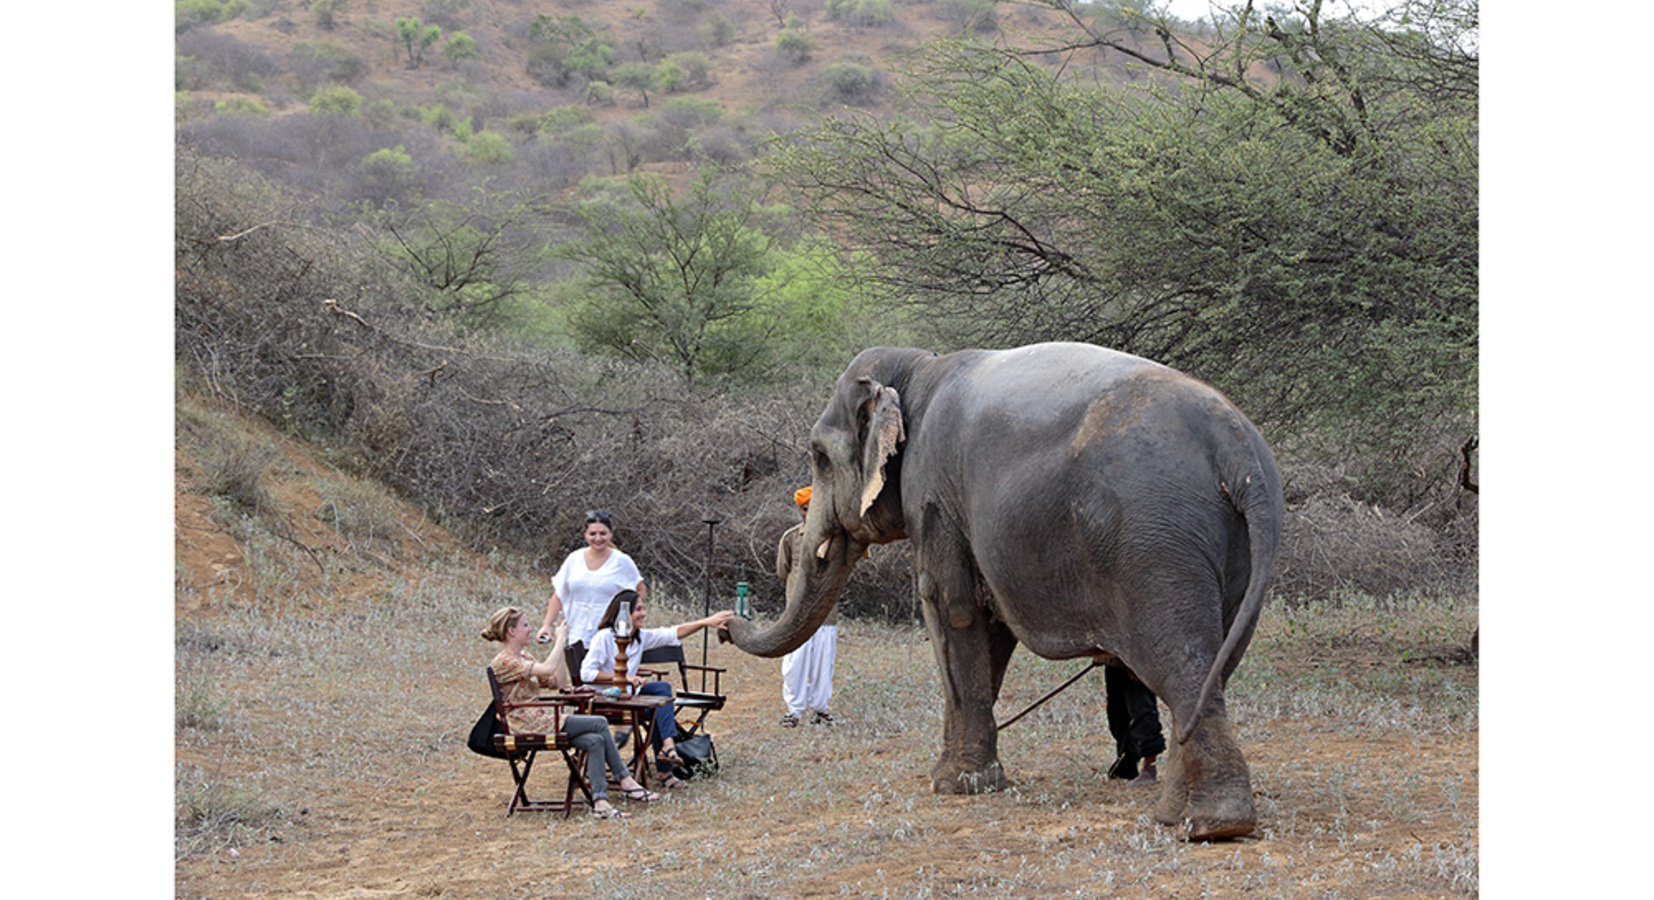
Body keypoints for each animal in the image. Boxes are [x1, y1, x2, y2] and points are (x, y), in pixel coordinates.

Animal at [731, 340, 1283, 840]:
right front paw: (957, 778)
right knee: (1215, 667)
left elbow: (952, 610)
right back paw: (1177, 817)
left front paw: (956, 785)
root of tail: (1236, 446)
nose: (729, 620)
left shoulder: (932, 498)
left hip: (1154, 544)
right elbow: (990, 630)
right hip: (1229, 551)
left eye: (819, 457)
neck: (919, 368)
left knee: (1180, 664)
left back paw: (1211, 826)